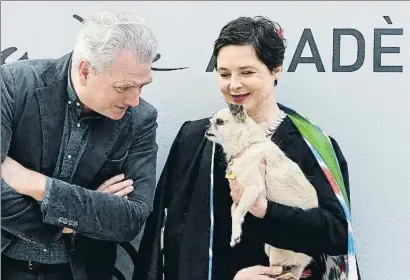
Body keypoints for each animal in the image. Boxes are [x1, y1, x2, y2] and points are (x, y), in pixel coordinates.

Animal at [207, 104, 318, 280]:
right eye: (211, 121)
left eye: (219, 121)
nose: (208, 127)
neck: (246, 146)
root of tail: (305, 261)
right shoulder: (238, 197)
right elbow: (235, 211)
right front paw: (236, 233)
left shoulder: (253, 188)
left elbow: (237, 212)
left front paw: (236, 234)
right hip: (270, 249)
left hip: (277, 253)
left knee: (278, 271)